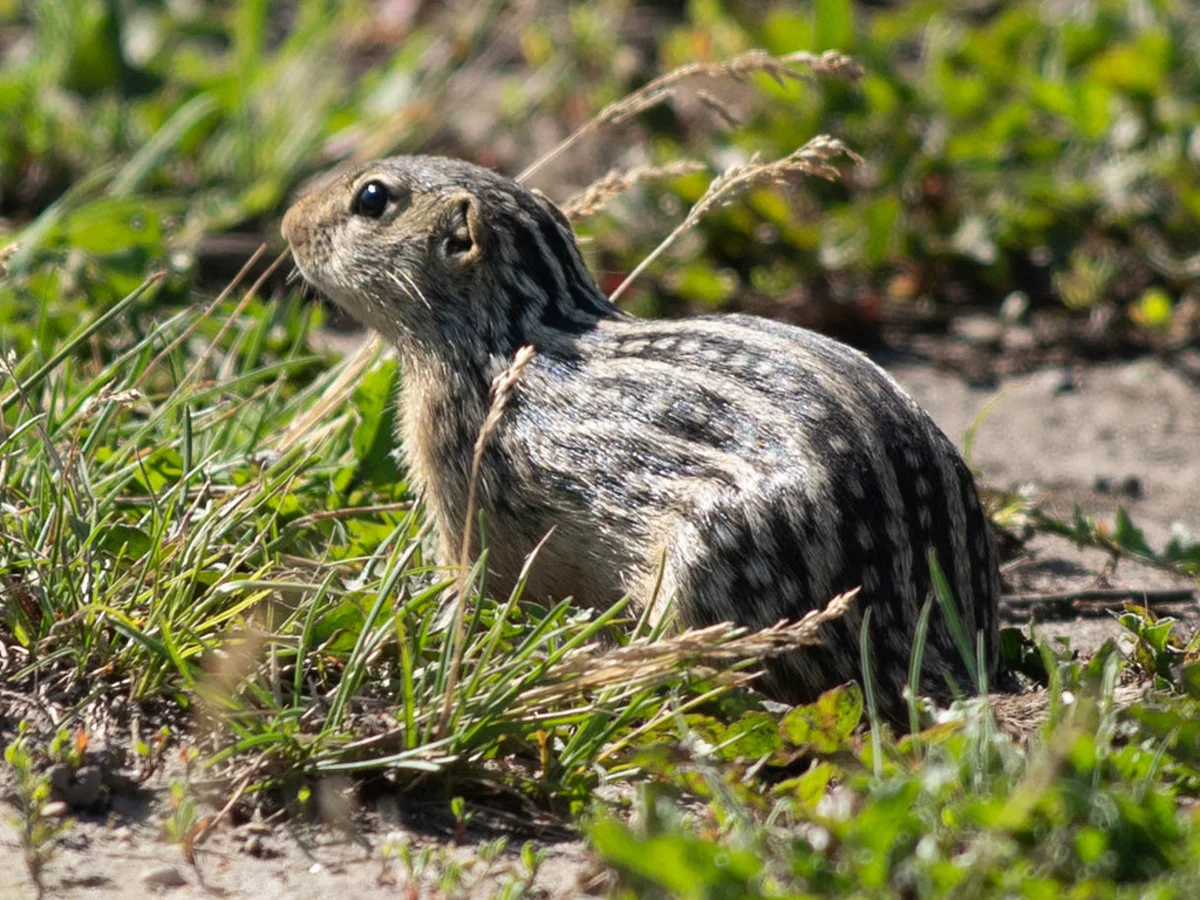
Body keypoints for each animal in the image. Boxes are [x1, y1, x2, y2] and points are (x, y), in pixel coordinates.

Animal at [282, 155, 1000, 717]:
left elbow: (468, 580)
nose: (289, 222)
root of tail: (925, 642)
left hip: (700, 573)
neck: (504, 336)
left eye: (372, 198)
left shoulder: (463, 498)